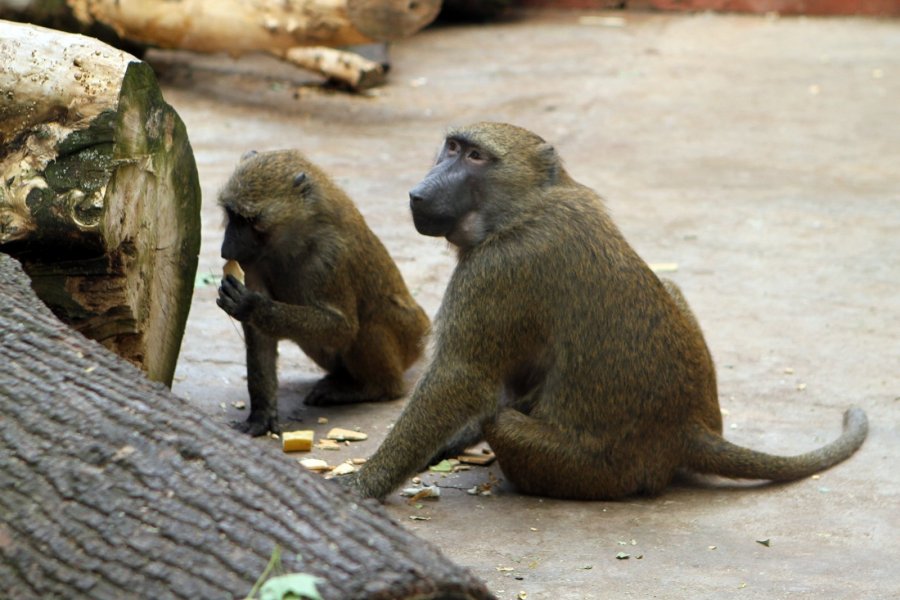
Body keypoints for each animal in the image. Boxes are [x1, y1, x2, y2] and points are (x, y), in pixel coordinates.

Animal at [216, 148, 430, 434]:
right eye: (232, 215)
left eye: (249, 220)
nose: (226, 249)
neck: (294, 238)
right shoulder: (252, 261)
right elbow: (260, 337)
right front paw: (262, 414)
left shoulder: (329, 256)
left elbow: (344, 328)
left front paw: (252, 306)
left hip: (408, 336)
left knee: (368, 325)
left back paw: (377, 389)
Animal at [342, 122, 868, 502]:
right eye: (449, 147)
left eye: (474, 156)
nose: (419, 192)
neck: (525, 205)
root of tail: (687, 429)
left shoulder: (495, 270)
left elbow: (461, 377)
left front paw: (362, 487)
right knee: (669, 285)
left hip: (599, 472)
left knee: (505, 422)